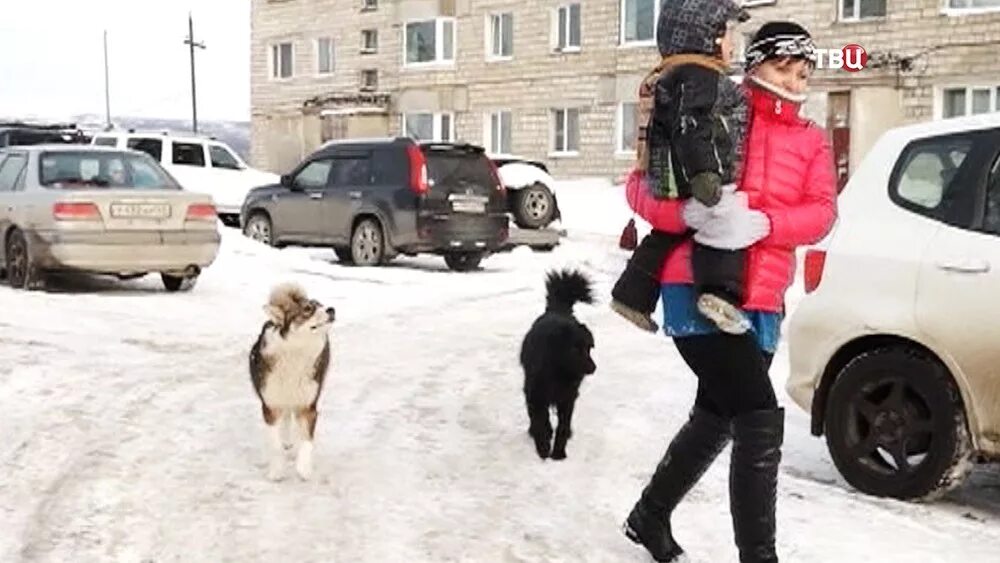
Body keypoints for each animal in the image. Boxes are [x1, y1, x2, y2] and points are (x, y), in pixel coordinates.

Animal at [249, 284, 336, 482]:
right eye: (308, 309)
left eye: (322, 305)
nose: (331, 309)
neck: (297, 350)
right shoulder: (270, 406)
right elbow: (275, 444)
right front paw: (276, 471)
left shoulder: (308, 406)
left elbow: (306, 440)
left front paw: (303, 468)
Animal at [520, 270, 596, 462]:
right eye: (574, 350)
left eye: (588, 348)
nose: (593, 368)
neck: (558, 371)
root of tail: (558, 310)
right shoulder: (535, 395)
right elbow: (540, 421)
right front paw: (543, 448)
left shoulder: (568, 397)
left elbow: (562, 426)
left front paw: (558, 453)